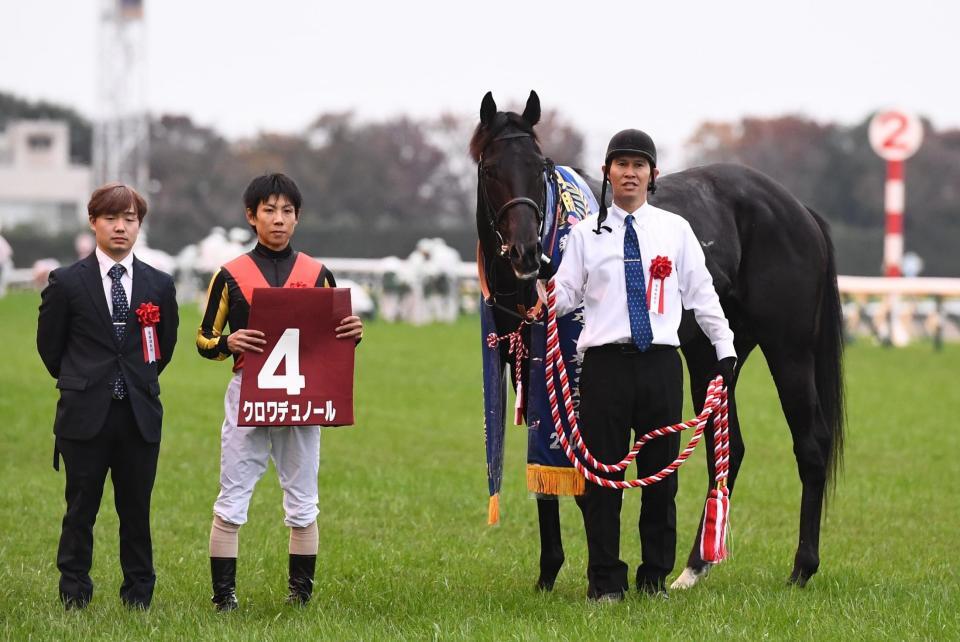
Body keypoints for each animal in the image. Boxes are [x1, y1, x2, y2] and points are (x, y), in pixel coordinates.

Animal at [474, 90, 848, 592]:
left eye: (539, 167)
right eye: (490, 169)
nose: (526, 254)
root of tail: (798, 210)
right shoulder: (529, 368)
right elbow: (548, 475)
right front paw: (548, 574)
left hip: (789, 350)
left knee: (810, 443)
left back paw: (801, 568)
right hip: (715, 354)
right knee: (726, 448)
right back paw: (695, 566)